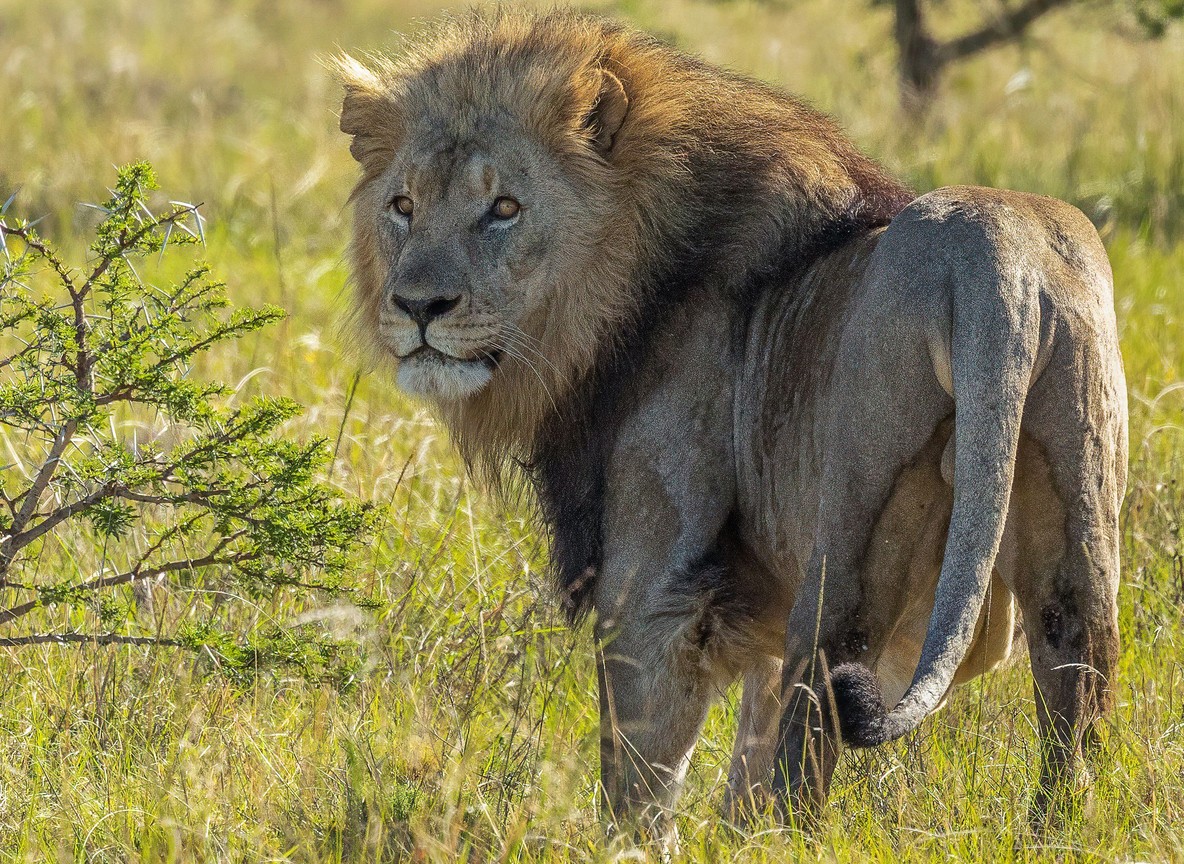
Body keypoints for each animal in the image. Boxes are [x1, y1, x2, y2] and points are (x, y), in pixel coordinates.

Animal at [334, 9, 1128, 834]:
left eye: (504, 209)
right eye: (403, 206)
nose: (417, 306)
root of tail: (996, 259)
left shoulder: (652, 592)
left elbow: (638, 775)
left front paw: (634, 844)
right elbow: (750, 742)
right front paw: (741, 835)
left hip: (856, 515)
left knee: (825, 698)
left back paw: (800, 842)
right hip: (1075, 495)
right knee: (1077, 667)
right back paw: (1059, 830)